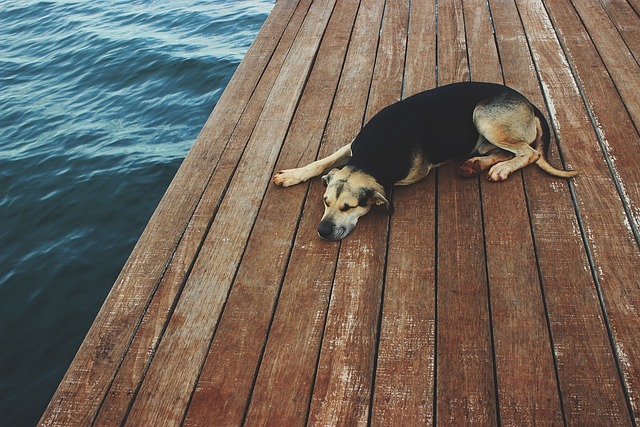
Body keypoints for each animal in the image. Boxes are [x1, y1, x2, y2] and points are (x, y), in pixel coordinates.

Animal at [272, 80, 576, 241]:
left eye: (350, 207)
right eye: (325, 202)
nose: (322, 232)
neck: (372, 156)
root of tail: (527, 101)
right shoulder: (351, 146)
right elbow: (324, 161)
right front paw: (293, 175)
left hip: (483, 117)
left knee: (529, 153)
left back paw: (501, 169)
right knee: (509, 151)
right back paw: (476, 165)